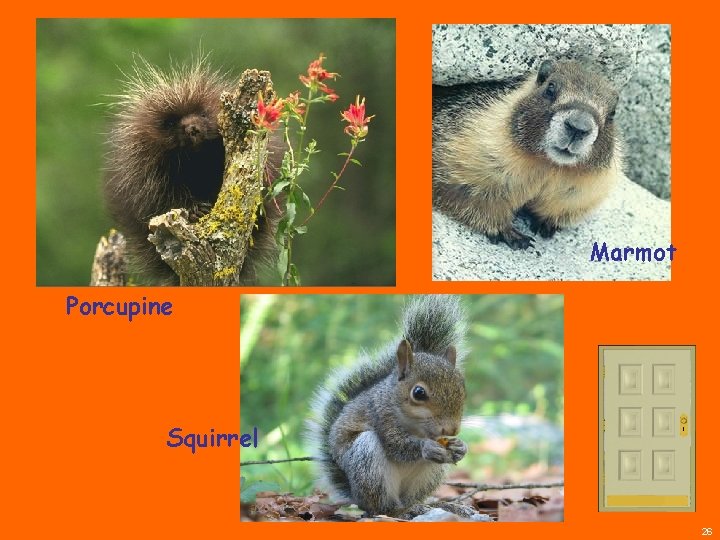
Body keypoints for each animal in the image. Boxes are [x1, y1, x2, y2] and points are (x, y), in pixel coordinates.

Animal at [307, 295, 468, 516]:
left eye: (463, 388)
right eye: (418, 393)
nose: (452, 430)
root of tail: (357, 497)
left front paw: (460, 447)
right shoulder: (381, 415)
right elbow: (396, 445)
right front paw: (426, 447)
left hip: (430, 475)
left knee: (411, 498)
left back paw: (427, 506)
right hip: (367, 461)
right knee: (383, 507)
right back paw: (400, 511)